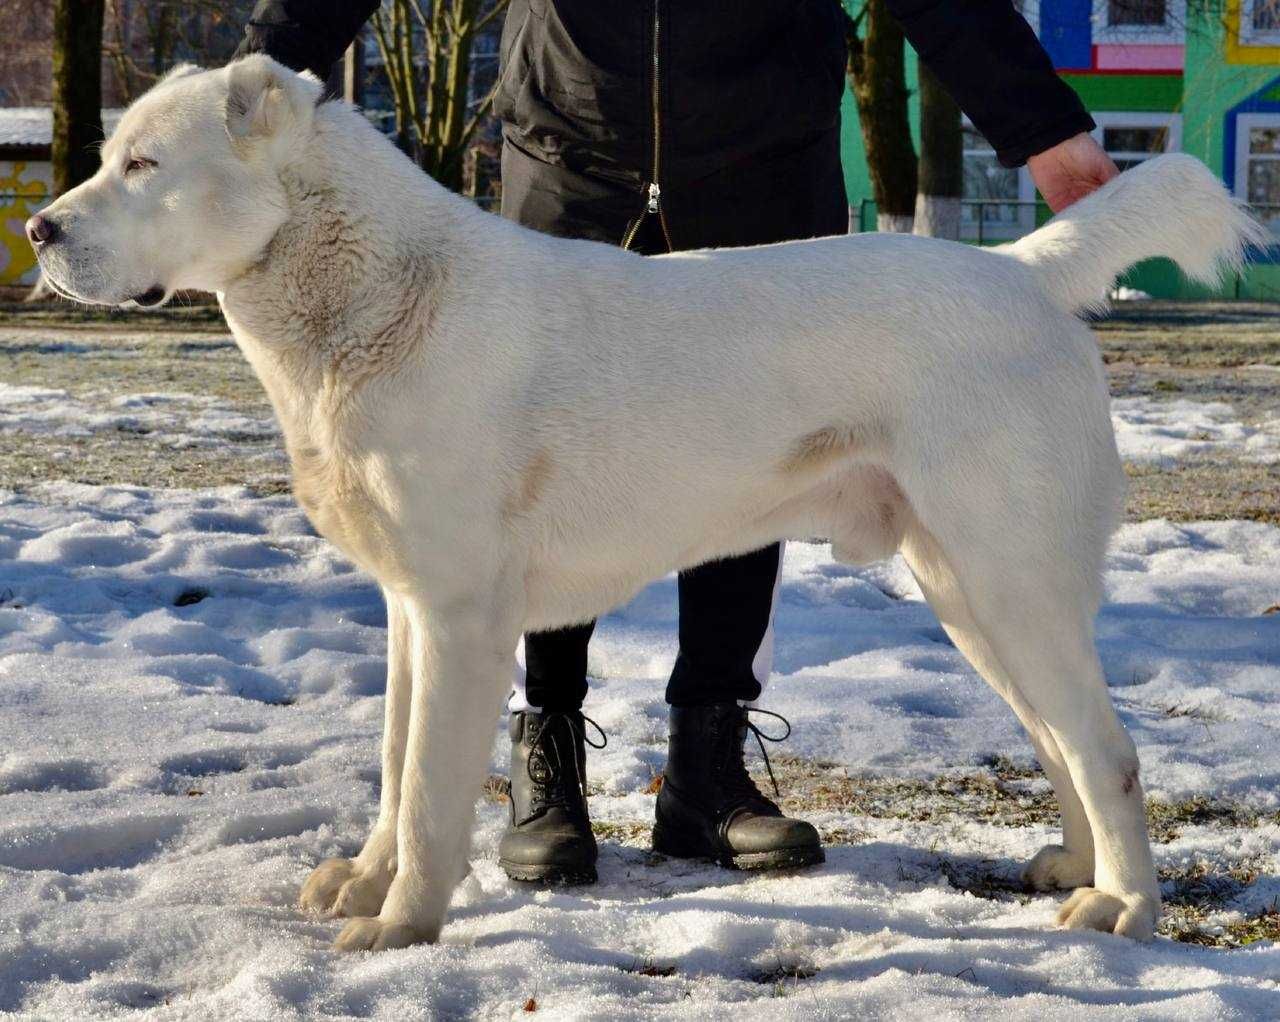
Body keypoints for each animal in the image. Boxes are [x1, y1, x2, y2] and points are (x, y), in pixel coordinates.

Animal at [27, 56, 1259, 952]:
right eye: (110, 157)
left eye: (142, 163)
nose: (38, 232)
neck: (371, 295)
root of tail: (1022, 269)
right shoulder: (409, 611)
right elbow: (390, 764)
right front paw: (367, 883)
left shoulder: (461, 614)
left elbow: (425, 792)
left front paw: (401, 926)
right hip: (970, 590)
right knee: (1061, 739)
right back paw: (1077, 870)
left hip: (1007, 576)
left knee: (1108, 749)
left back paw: (1124, 909)